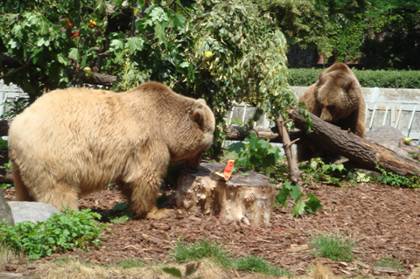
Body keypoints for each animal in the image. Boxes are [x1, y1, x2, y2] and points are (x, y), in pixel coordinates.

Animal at [8, 82, 215, 218]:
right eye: (205, 146)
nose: (196, 166)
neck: (165, 125)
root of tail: (15, 128)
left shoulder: (130, 154)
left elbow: (129, 180)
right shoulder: (150, 142)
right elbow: (146, 176)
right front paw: (157, 210)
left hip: (22, 166)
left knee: (25, 190)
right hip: (54, 155)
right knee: (59, 189)